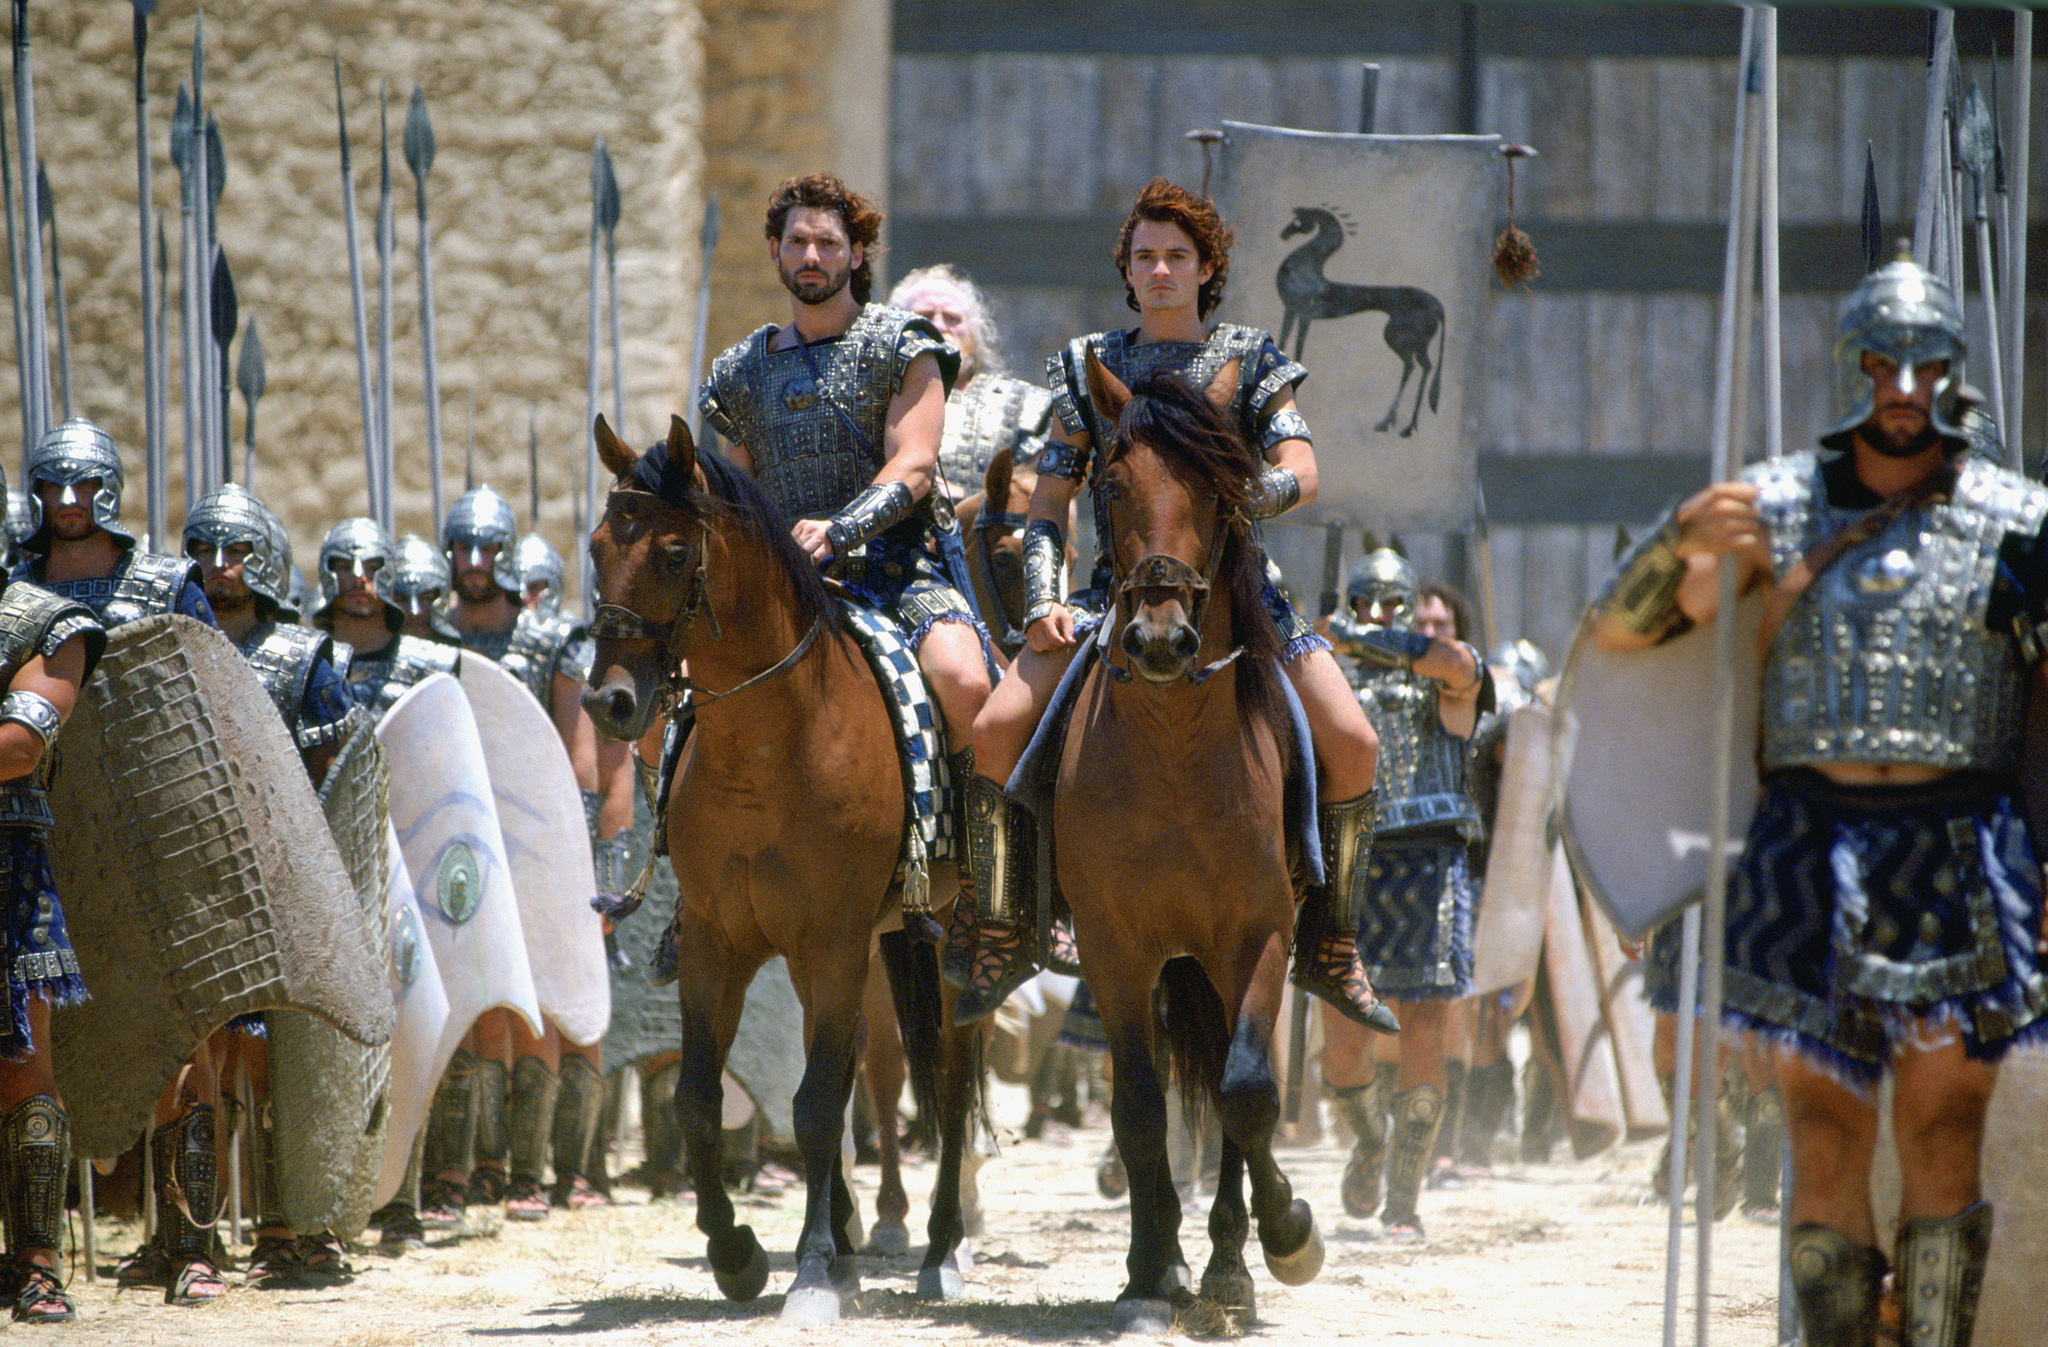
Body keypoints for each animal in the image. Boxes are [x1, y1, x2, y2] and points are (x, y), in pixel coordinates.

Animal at [585, 413, 983, 1318]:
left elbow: (816, 1105)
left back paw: (941, 1246)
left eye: (673, 553)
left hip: (947, 935)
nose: (608, 701)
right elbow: (702, 1099)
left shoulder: (833, 941)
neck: (769, 748)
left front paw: (809, 1270)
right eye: (595, 546)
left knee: (948, 1077)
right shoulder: (719, 942)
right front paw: (736, 1252)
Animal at [1056, 352, 1327, 1326]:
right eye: (1112, 483)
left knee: (1232, 1086)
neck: (1173, 756)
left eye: (1217, 490)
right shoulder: (1114, 948)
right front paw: (1149, 1265)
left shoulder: (1257, 936)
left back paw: (1231, 1261)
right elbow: (1138, 1107)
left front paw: (1279, 1240)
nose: (1164, 638)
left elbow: (1246, 1093)